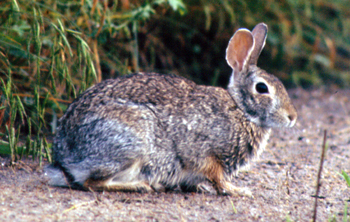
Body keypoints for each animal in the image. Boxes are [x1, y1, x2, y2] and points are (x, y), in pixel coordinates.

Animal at [43, 23, 296, 196]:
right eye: (262, 88)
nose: (292, 117)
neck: (240, 109)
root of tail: (63, 158)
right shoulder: (203, 151)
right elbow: (215, 175)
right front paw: (237, 191)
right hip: (131, 143)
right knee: (92, 183)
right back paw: (141, 185)